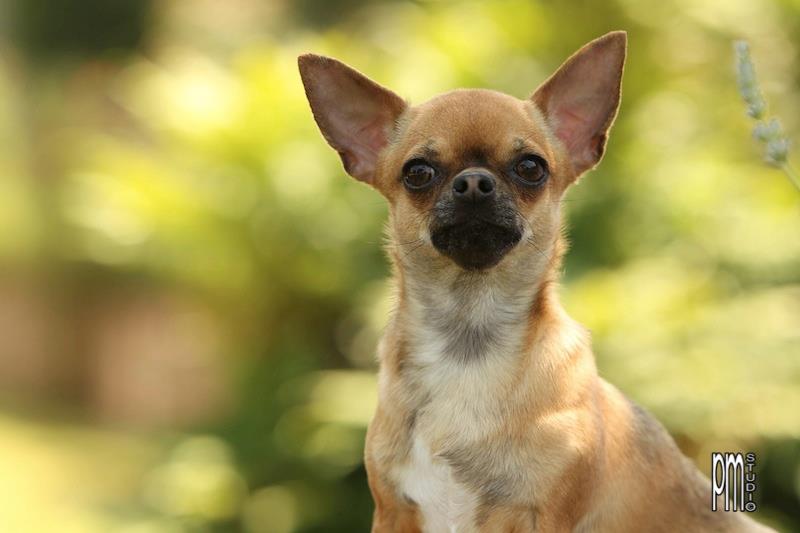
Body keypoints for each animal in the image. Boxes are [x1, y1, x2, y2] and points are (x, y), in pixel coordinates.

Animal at [296, 31, 772, 528]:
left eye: (530, 167)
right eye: (418, 172)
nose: (473, 182)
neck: (468, 348)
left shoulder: (538, 515)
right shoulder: (394, 512)